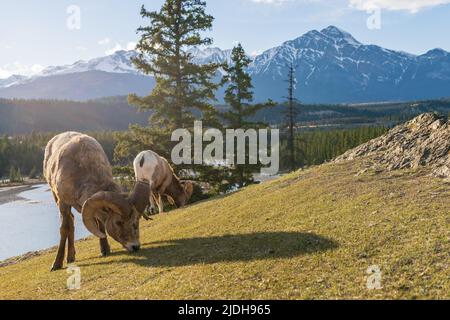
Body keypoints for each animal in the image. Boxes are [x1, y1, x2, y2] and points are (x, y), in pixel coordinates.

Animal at [44, 131, 150, 272]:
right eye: (118, 222)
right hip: (56, 198)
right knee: (70, 223)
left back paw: (72, 257)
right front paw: (56, 265)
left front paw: (105, 250)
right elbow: (64, 229)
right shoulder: (63, 202)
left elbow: (100, 224)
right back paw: (70, 258)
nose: (135, 246)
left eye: (136, 221)